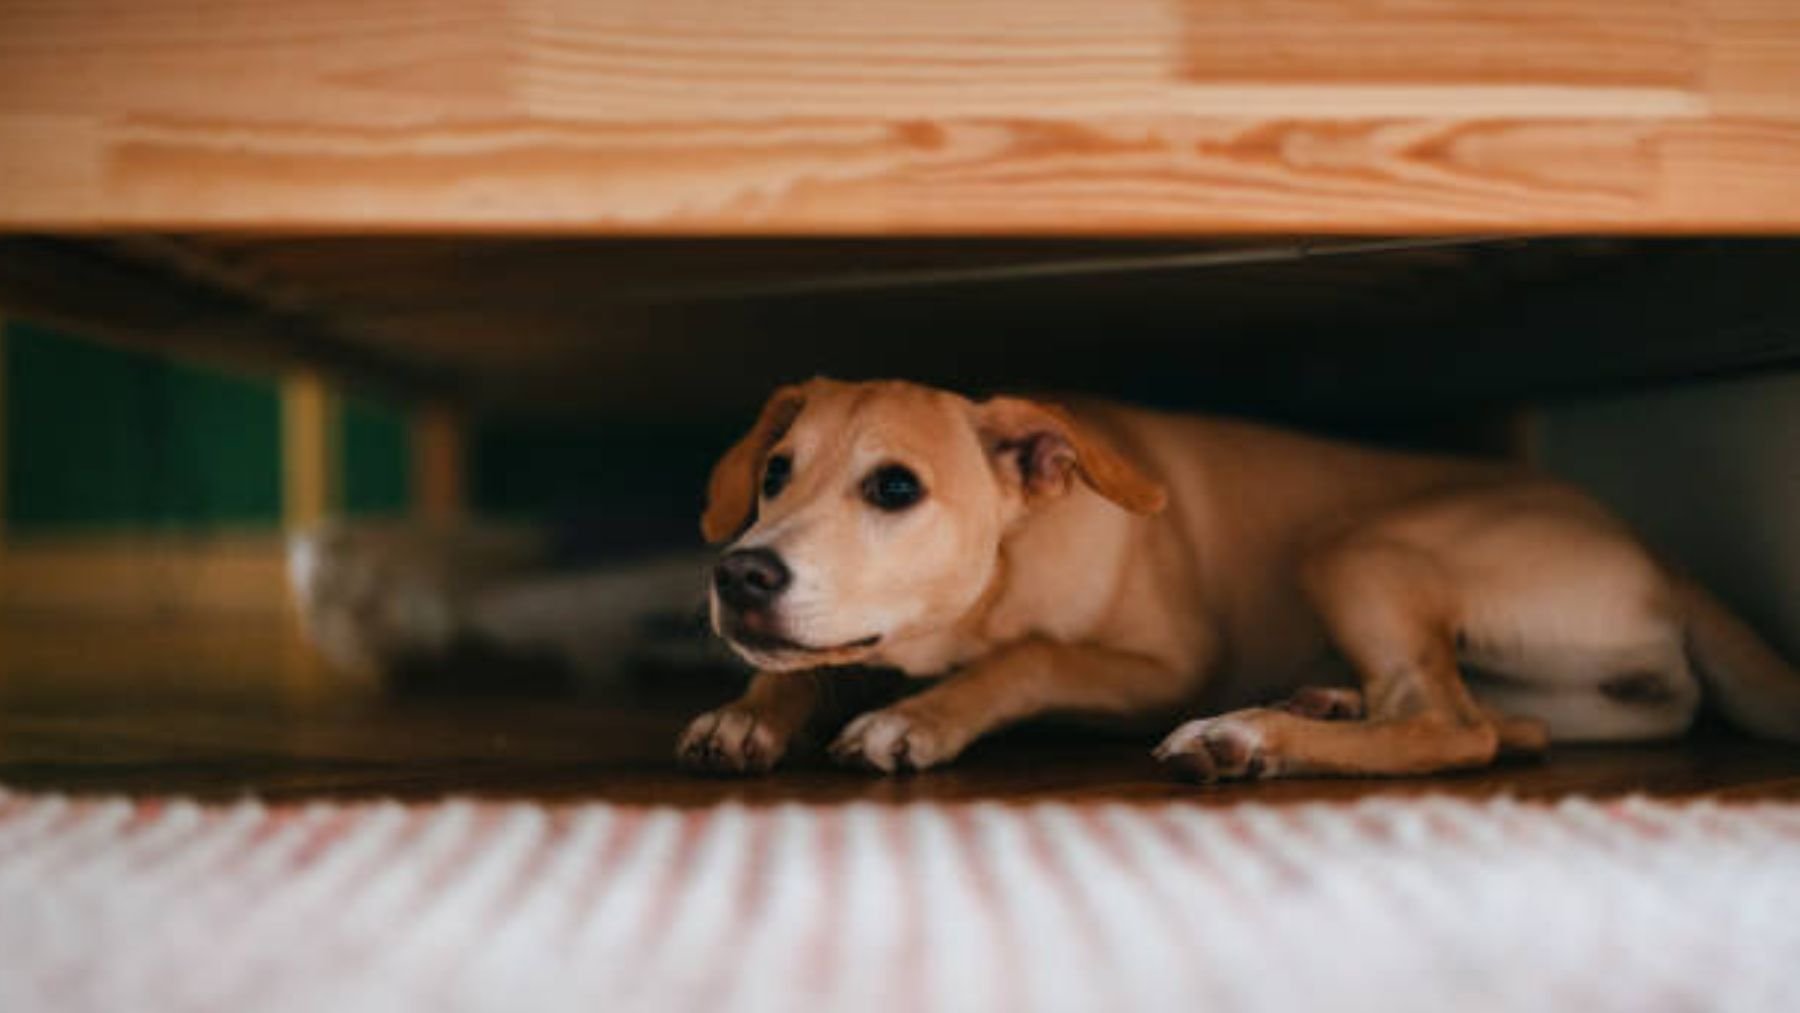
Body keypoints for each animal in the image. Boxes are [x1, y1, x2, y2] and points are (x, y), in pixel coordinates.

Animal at [295, 381, 1800, 784]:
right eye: (774, 469)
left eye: (894, 488)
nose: (737, 575)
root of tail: (1666, 559)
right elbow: (820, 659)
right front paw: (754, 709)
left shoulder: (1146, 659)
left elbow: (1014, 661)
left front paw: (913, 715)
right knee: (1506, 718)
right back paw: (1311, 703)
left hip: (1362, 548)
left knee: (1457, 727)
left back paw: (1255, 736)